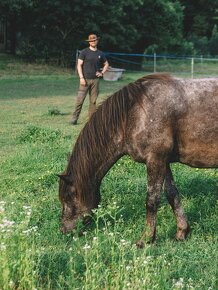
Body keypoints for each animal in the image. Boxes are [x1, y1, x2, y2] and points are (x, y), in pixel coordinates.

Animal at [58, 73, 218, 247]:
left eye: (68, 197)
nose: (64, 230)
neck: (134, 112)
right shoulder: (164, 161)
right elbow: (172, 194)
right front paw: (182, 232)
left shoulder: (155, 159)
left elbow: (151, 200)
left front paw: (146, 239)